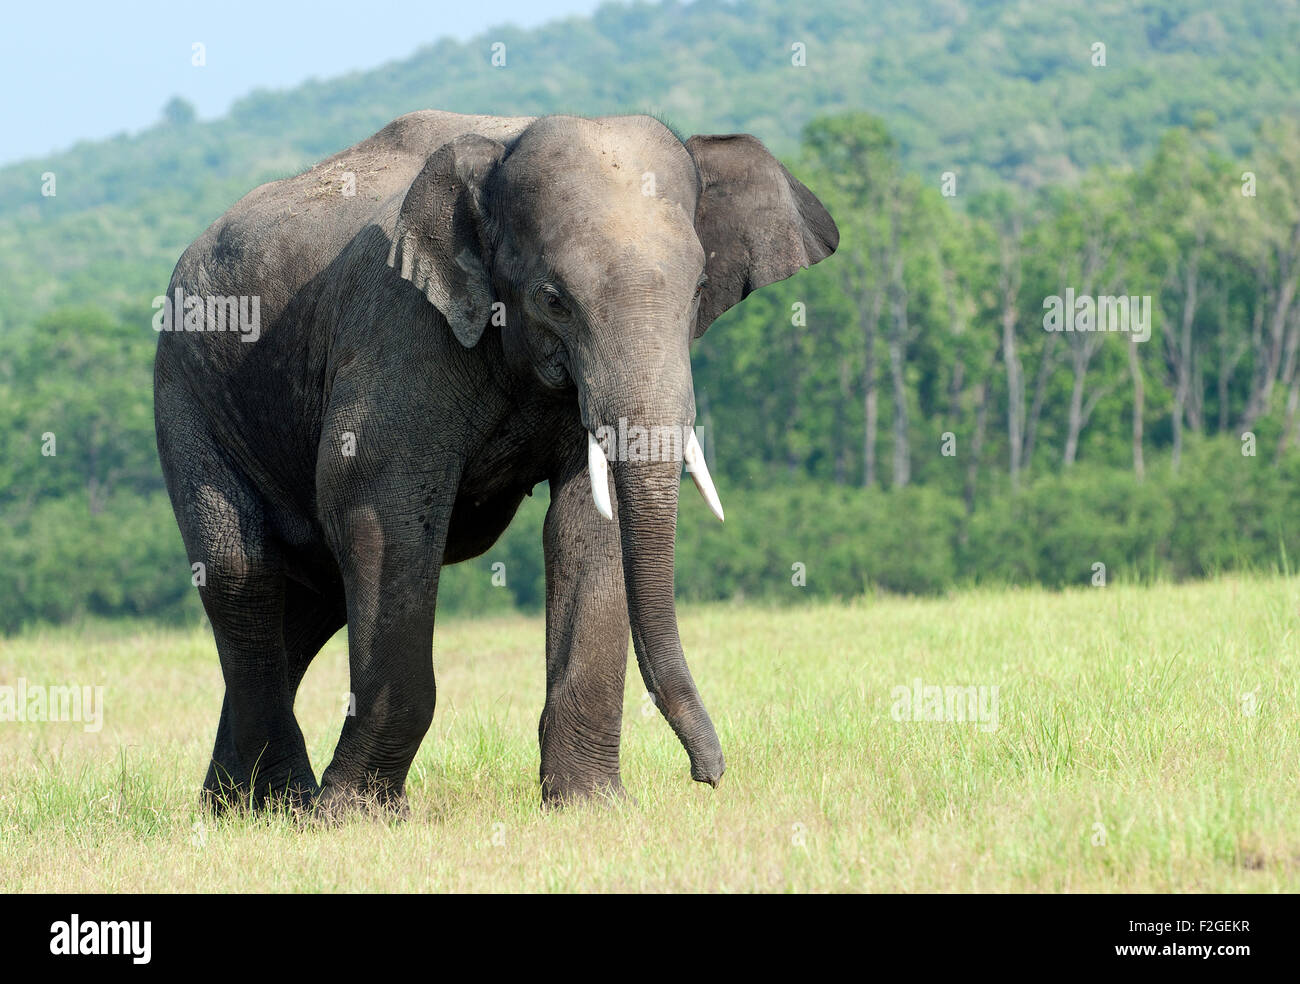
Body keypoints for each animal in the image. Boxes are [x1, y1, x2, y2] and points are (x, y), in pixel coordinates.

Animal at [153, 110, 838, 815]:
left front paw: (590, 807)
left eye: (700, 288)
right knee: (243, 572)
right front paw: (352, 819)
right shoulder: (399, 330)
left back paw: (232, 809)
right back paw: (281, 805)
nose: (709, 775)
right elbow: (379, 514)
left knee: (310, 600)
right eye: (553, 298)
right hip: (188, 395)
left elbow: (586, 522)